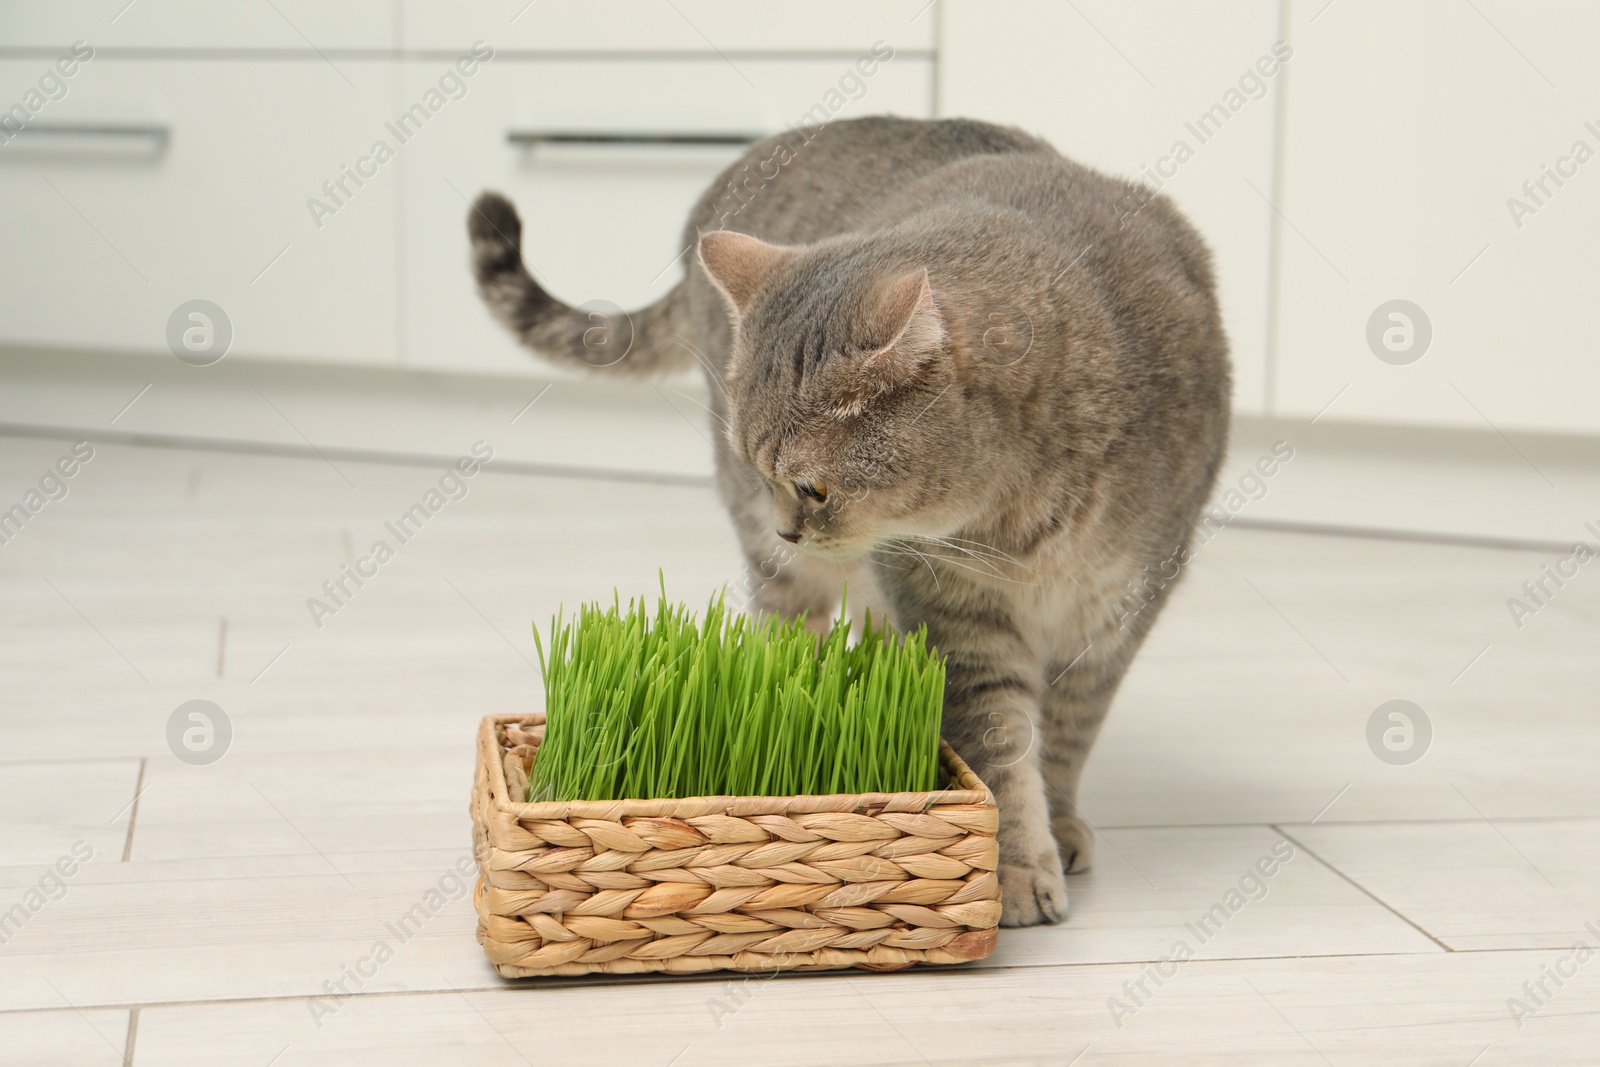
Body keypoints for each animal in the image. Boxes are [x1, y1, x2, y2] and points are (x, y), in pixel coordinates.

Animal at [467, 112, 1228, 921]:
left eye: (814, 487)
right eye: (757, 466)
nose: (785, 526)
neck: (1021, 522)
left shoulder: (1119, 612)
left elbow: (1066, 739)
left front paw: (1062, 821)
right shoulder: (954, 613)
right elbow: (1001, 747)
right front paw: (1019, 867)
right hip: (791, 576)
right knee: (787, 639)